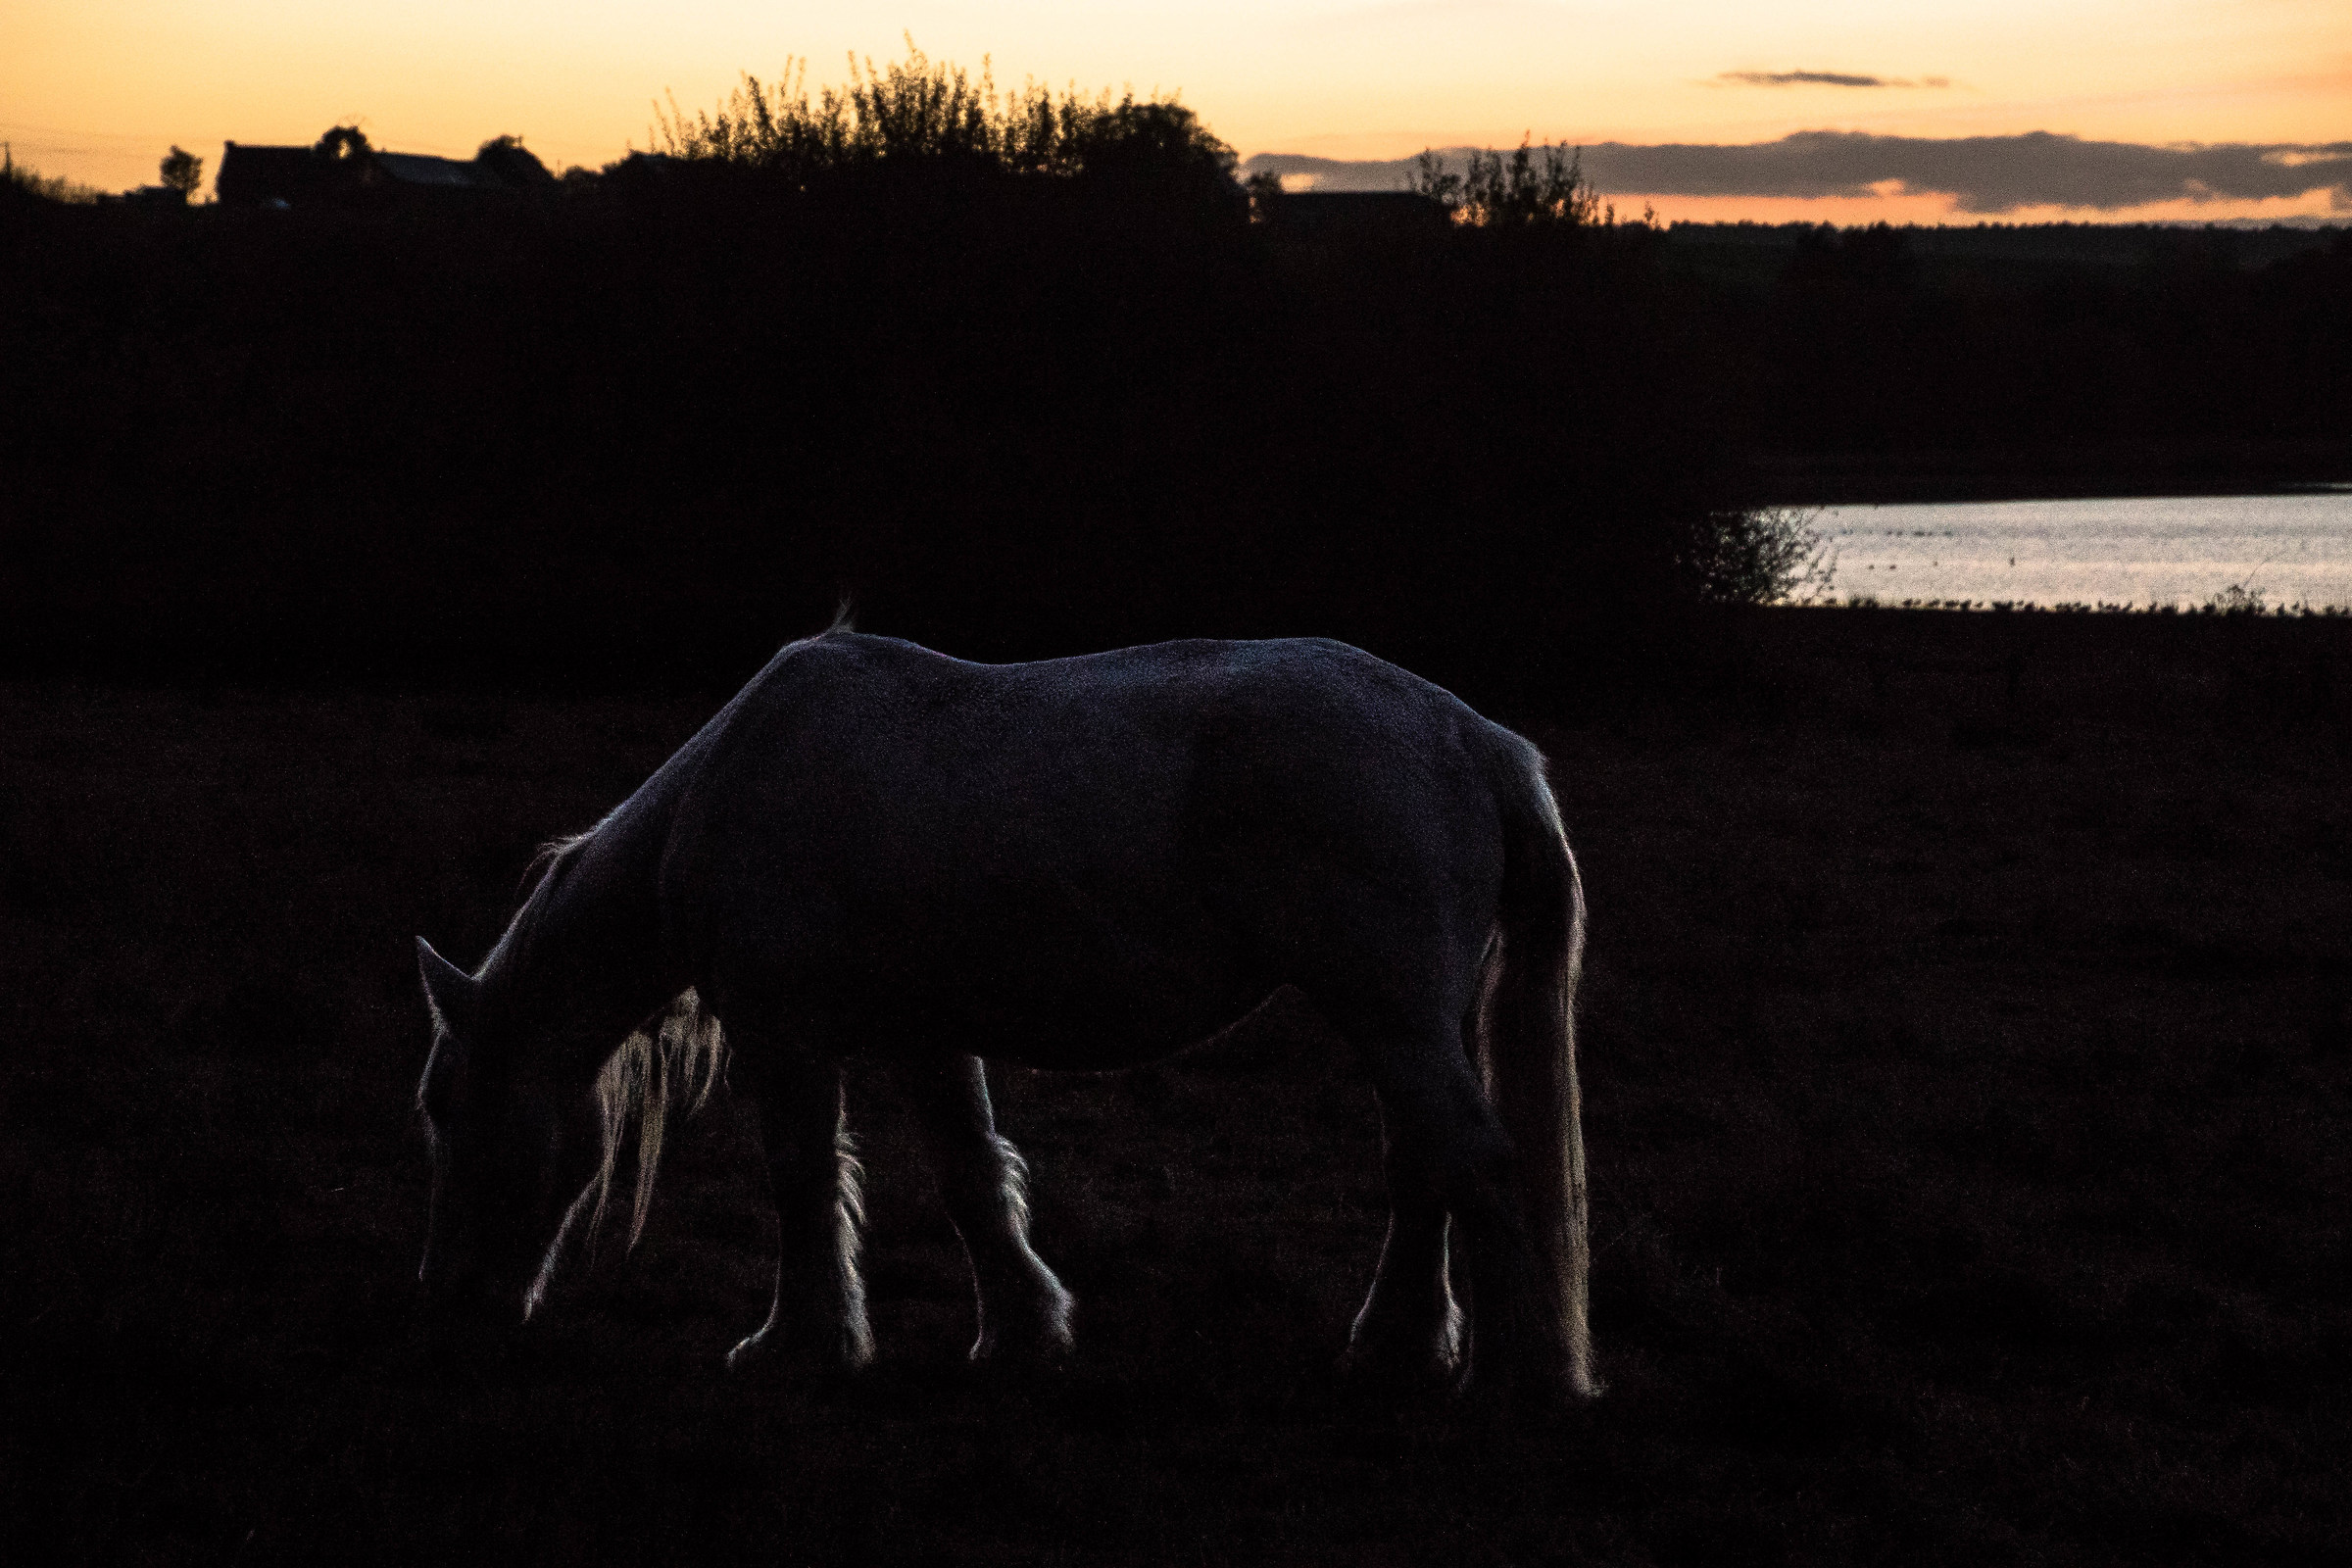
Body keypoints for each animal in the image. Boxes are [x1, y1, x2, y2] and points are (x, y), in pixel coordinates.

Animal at [412, 626, 1598, 1400]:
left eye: (443, 1106)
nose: (448, 1303)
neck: (729, 795)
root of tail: (1476, 740)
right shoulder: (929, 1035)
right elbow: (971, 1179)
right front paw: (1023, 1331)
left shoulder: (788, 1039)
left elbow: (802, 1182)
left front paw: (801, 1344)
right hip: (1405, 1025)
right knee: (1427, 1168)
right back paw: (1397, 1347)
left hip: (1392, 1016)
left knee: (1473, 1163)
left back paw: (1516, 1371)